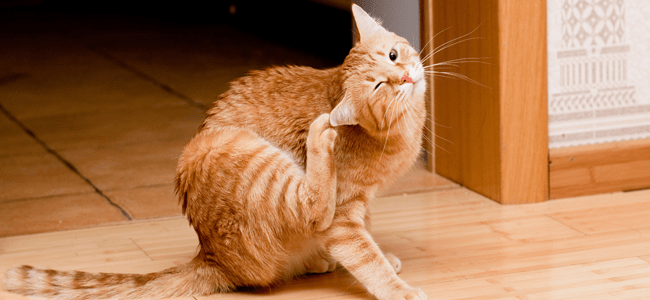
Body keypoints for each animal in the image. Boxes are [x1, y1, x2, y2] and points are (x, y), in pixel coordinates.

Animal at [3, 4, 426, 300]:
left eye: (394, 55)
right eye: (379, 86)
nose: (406, 77)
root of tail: (212, 256)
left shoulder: (362, 204)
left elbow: (366, 241)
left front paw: (383, 261)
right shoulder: (343, 213)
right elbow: (363, 254)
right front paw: (397, 287)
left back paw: (319, 261)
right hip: (228, 150)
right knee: (311, 206)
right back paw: (320, 136)